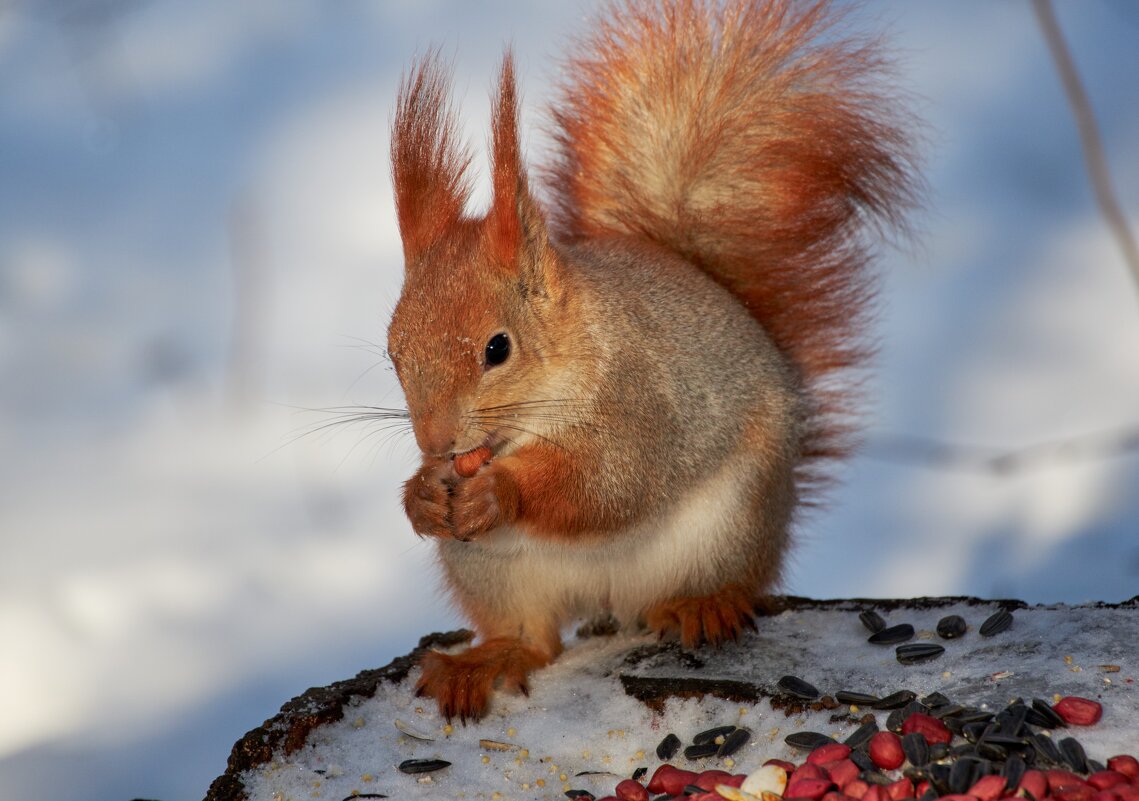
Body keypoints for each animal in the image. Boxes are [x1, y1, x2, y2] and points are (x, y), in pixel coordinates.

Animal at [382, 0, 915, 724]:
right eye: (393, 350)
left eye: (498, 348)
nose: (436, 442)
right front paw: (420, 496)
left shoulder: (642, 402)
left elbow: (610, 484)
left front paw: (500, 491)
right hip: (495, 571)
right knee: (533, 638)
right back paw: (483, 662)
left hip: (731, 524)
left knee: (721, 580)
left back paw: (704, 604)